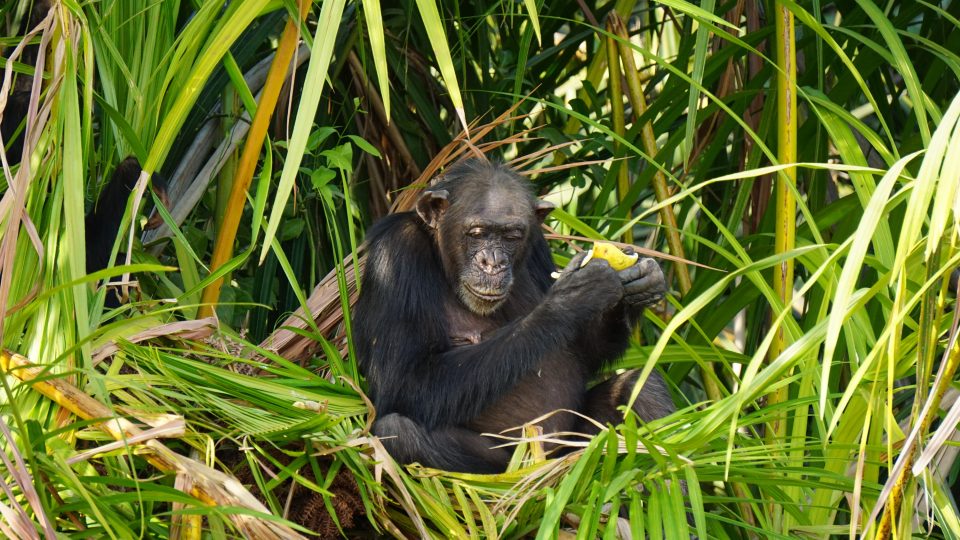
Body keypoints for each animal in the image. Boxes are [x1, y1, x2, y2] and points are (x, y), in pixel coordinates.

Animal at [354, 159, 676, 472]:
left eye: (511, 237)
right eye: (477, 234)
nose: (493, 262)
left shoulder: (538, 245)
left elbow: (583, 354)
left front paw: (641, 282)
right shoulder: (395, 257)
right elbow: (405, 378)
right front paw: (574, 295)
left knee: (643, 387)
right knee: (400, 432)